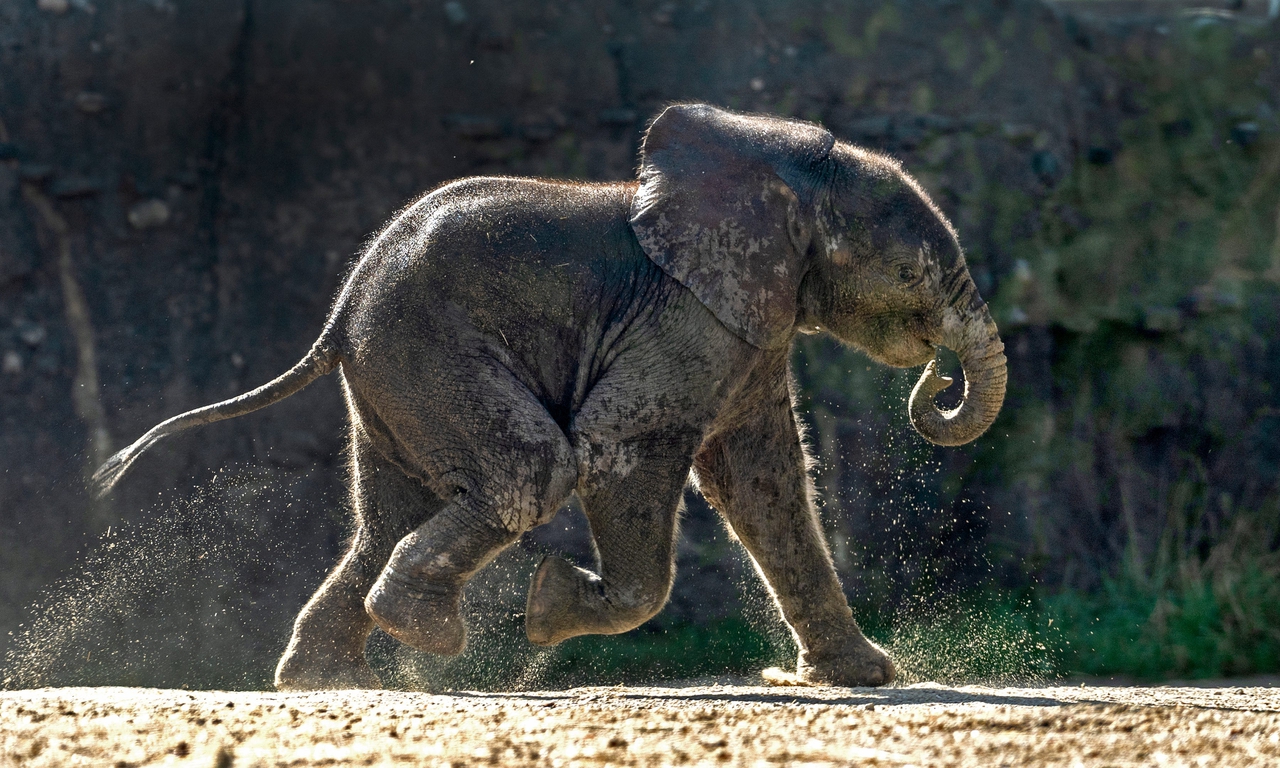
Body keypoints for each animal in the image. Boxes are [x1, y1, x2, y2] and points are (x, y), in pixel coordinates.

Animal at [94, 103, 1003, 691]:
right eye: (913, 274)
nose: (936, 376)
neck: (785, 178)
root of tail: (341, 313)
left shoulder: (747, 326)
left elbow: (764, 485)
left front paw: (867, 678)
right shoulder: (685, 318)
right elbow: (616, 447)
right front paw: (548, 610)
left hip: (392, 380)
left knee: (389, 515)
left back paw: (327, 681)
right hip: (429, 352)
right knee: (532, 470)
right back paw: (426, 640)